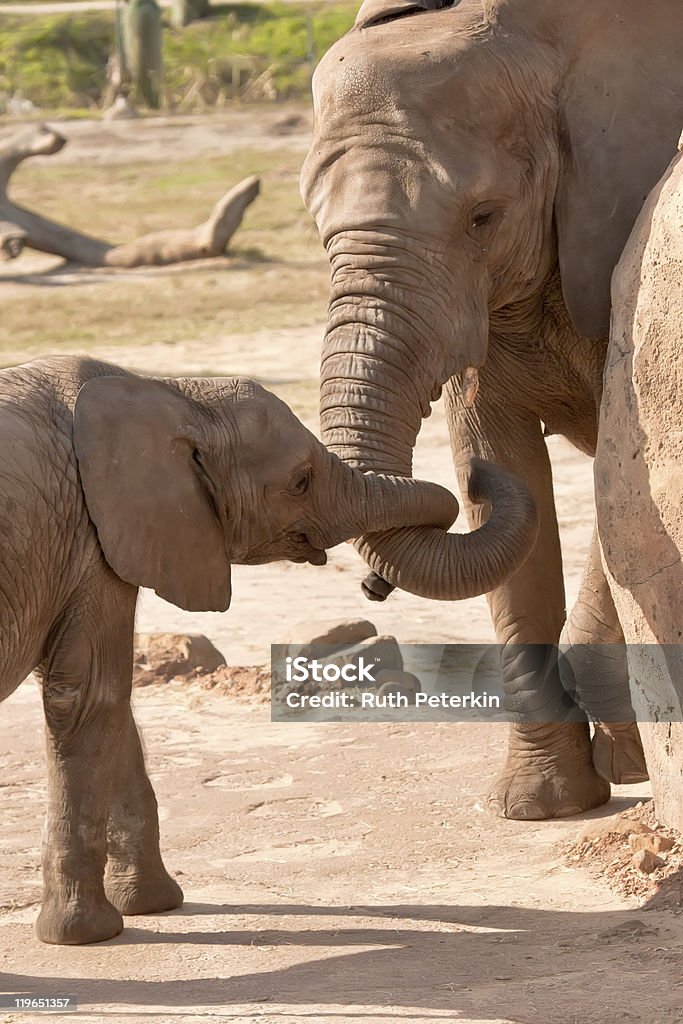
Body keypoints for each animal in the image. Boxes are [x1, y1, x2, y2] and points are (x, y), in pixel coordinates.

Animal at [1, 358, 458, 942]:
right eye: (299, 481)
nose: (373, 586)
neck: (166, 392)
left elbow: (111, 708)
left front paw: (153, 903)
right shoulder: (92, 538)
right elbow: (89, 697)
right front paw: (87, 933)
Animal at [301, 0, 683, 819]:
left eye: (482, 217)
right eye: (318, 231)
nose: (370, 586)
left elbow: (614, 478)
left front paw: (619, 749)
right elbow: (503, 460)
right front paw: (540, 805)